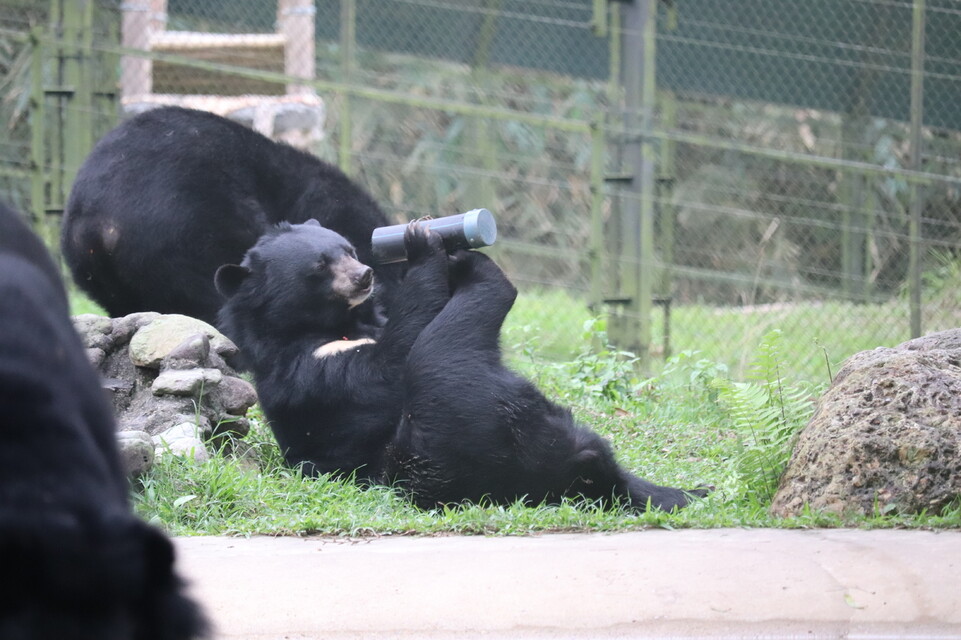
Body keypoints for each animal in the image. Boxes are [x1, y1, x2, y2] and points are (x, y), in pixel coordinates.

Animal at [218, 220, 708, 510]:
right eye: (321, 266)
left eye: (348, 249)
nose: (365, 276)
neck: (333, 324)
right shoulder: (309, 371)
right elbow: (384, 367)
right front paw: (423, 244)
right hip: (434, 449)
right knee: (436, 358)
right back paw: (481, 271)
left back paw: (688, 491)